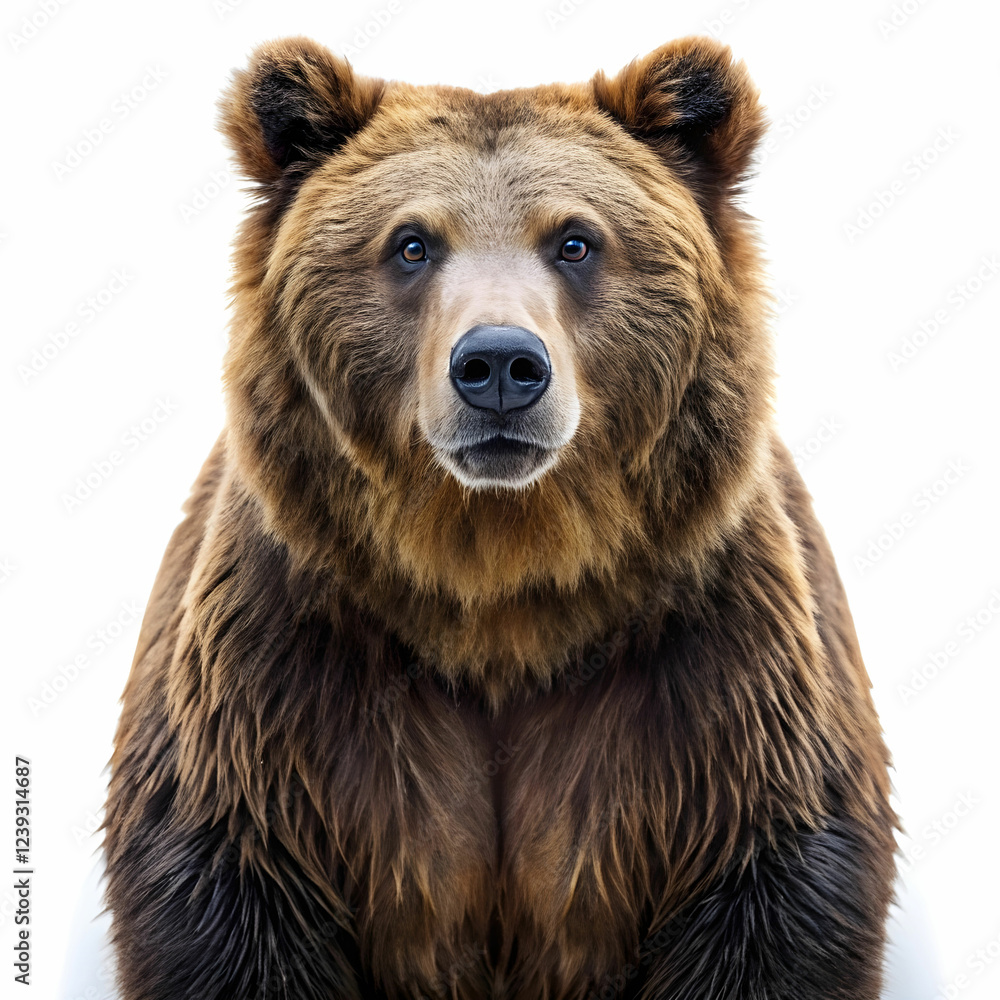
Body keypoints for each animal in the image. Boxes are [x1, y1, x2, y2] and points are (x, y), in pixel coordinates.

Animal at [103, 35, 897, 1000]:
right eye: (411, 243)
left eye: (576, 240)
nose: (500, 365)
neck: (498, 581)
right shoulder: (280, 686)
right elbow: (230, 897)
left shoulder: (716, 685)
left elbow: (769, 897)